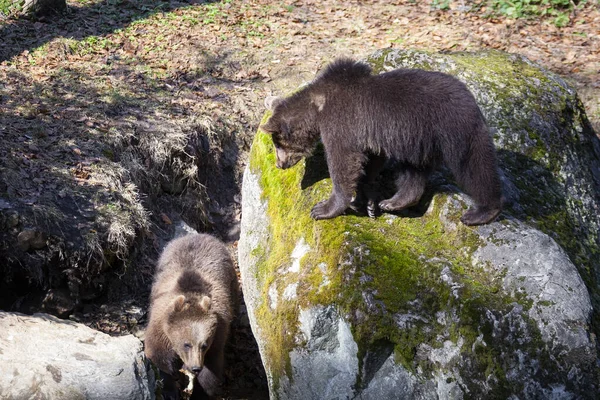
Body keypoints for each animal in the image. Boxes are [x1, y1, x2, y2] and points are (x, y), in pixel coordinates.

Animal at [144, 233, 238, 398]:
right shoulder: (161, 325)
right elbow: (158, 356)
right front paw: (169, 389)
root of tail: (200, 234)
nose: (195, 367)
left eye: (204, 344)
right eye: (186, 344)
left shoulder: (218, 331)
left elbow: (211, 368)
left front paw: (201, 391)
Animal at [262, 57, 502, 225]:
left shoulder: (342, 122)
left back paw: (481, 212)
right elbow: (369, 162)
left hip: (454, 129)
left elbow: (343, 162)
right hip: (416, 142)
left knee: (474, 167)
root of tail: (472, 100)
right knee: (412, 172)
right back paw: (393, 202)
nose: (279, 164)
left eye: (277, 145)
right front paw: (366, 202)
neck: (318, 107)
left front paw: (323, 208)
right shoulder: (370, 136)